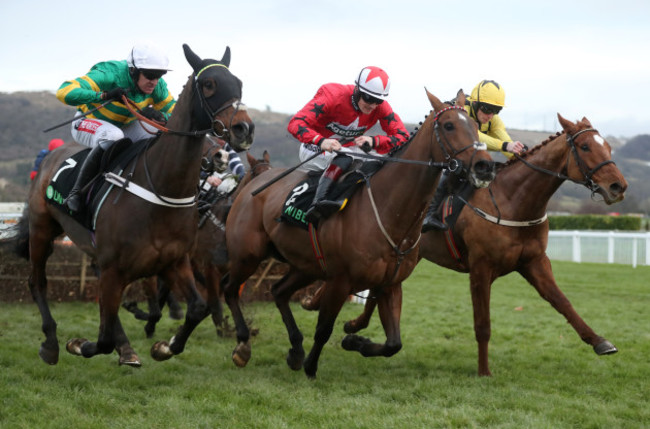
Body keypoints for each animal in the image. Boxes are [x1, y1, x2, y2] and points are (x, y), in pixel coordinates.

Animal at [8, 43, 256, 366]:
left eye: (238, 83)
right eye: (209, 84)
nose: (244, 129)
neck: (161, 189)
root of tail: (50, 158)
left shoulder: (173, 261)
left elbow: (197, 308)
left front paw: (165, 346)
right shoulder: (116, 267)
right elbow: (101, 340)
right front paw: (79, 344)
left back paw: (125, 347)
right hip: (42, 231)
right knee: (37, 282)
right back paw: (51, 343)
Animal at [205, 88, 494, 376]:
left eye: (475, 127)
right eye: (449, 125)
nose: (484, 166)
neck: (390, 214)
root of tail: (250, 185)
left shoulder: (390, 284)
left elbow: (393, 343)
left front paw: (354, 341)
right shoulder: (340, 280)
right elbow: (324, 328)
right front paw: (312, 366)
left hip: (306, 266)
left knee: (278, 291)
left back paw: (295, 349)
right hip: (248, 255)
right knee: (229, 288)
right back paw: (243, 345)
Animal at [336, 113, 624, 374]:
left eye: (608, 147)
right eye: (585, 147)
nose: (618, 186)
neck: (512, 201)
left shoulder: (534, 261)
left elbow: (562, 301)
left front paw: (599, 341)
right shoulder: (481, 268)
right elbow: (483, 324)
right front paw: (484, 370)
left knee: (377, 291)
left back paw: (354, 328)